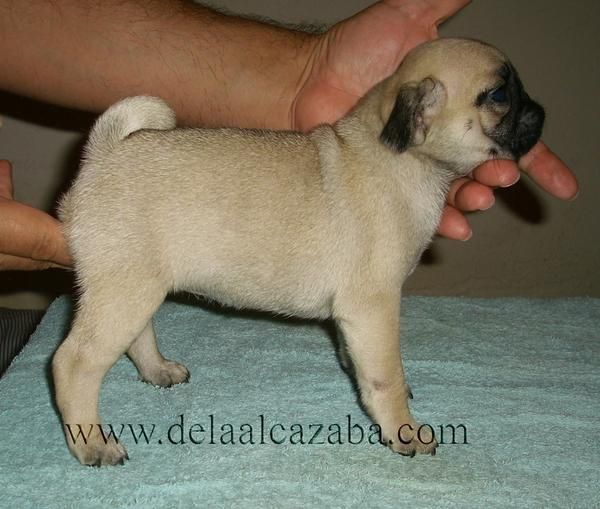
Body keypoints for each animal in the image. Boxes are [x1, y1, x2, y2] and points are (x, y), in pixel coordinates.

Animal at [54, 37, 548, 464]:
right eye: (499, 94)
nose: (541, 111)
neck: (405, 158)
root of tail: (103, 155)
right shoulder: (375, 306)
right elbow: (386, 376)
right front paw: (403, 430)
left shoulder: (357, 317)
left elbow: (361, 360)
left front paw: (355, 372)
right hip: (123, 289)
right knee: (74, 363)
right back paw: (92, 444)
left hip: (138, 285)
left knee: (136, 335)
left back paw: (157, 370)